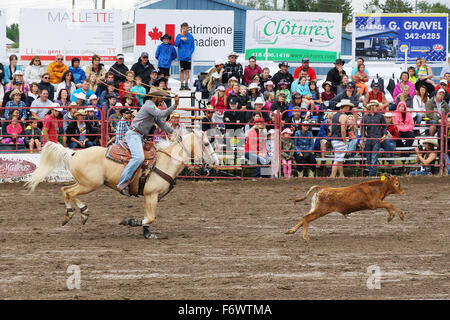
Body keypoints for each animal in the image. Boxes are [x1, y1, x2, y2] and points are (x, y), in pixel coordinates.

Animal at [26, 130, 220, 238]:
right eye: (206, 143)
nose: (217, 162)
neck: (166, 160)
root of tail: (75, 153)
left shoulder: (151, 197)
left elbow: (148, 217)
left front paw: (146, 233)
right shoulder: (151, 194)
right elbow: (150, 217)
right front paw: (129, 221)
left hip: (83, 183)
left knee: (65, 189)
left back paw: (72, 214)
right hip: (89, 184)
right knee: (69, 192)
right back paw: (82, 213)